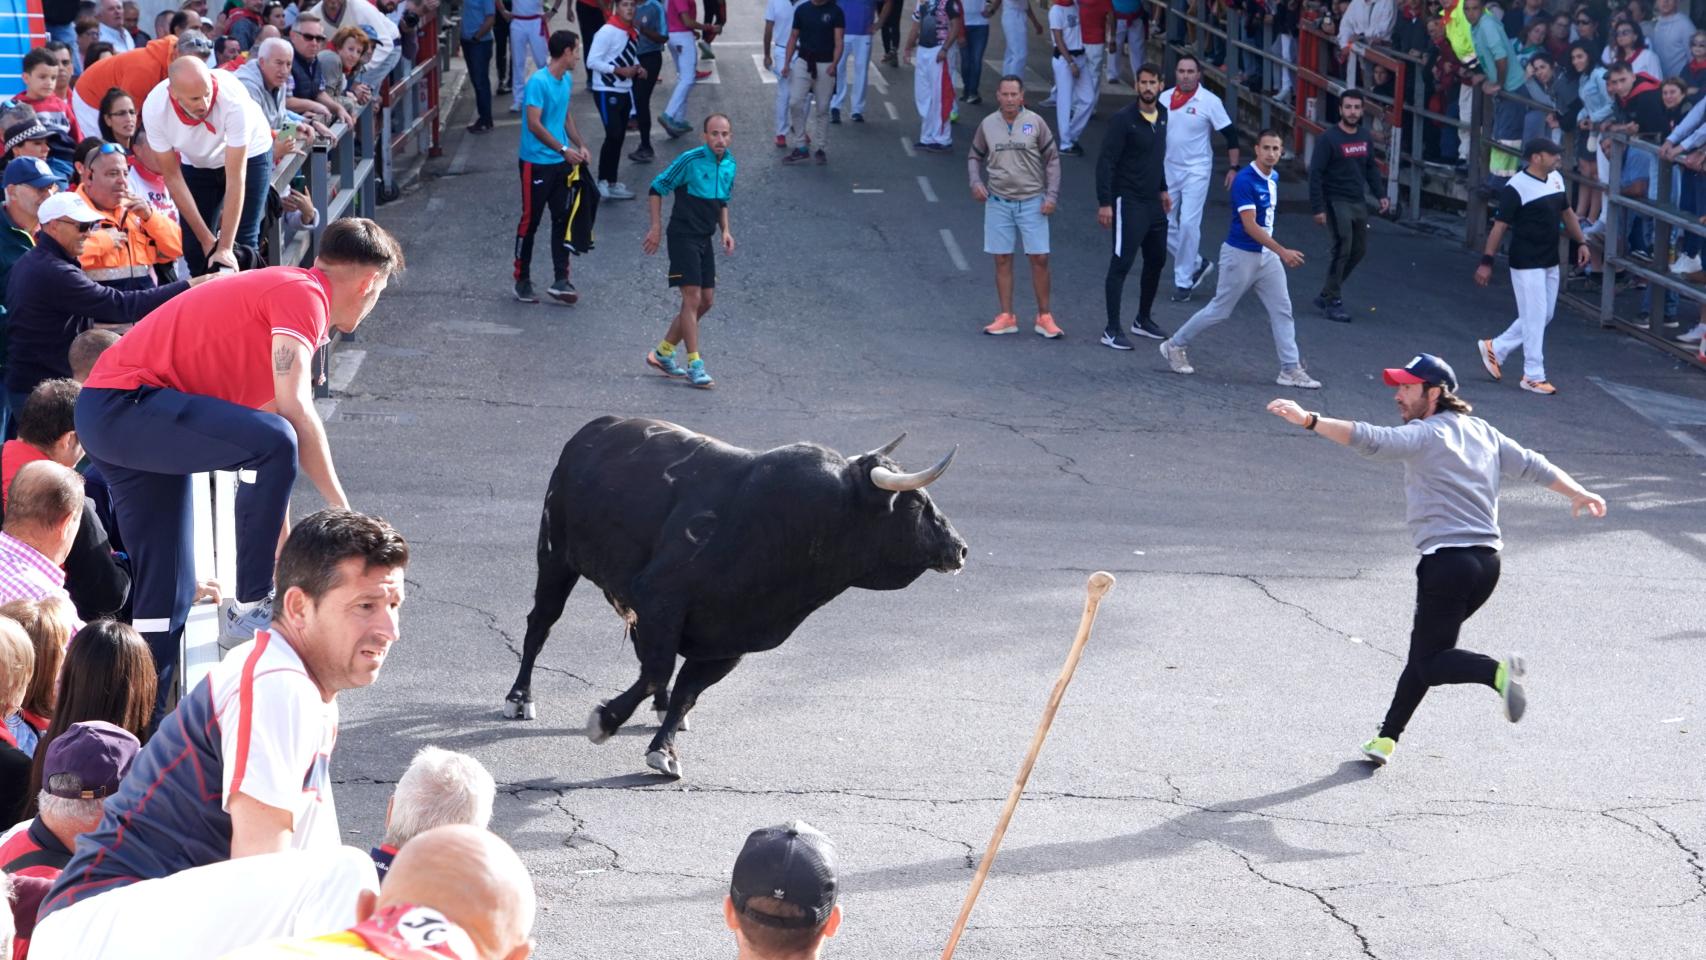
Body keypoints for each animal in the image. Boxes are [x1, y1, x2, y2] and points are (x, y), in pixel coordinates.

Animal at [498, 417, 969, 777]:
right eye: (916, 504)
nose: (960, 549)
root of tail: (592, 431)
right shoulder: (661, 599)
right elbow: (657, 669)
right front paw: (605, 720)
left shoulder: (732, 637)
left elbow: (686, 688)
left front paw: (664, 747)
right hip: (556, 557)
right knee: (541, 624)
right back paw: (520, 697)